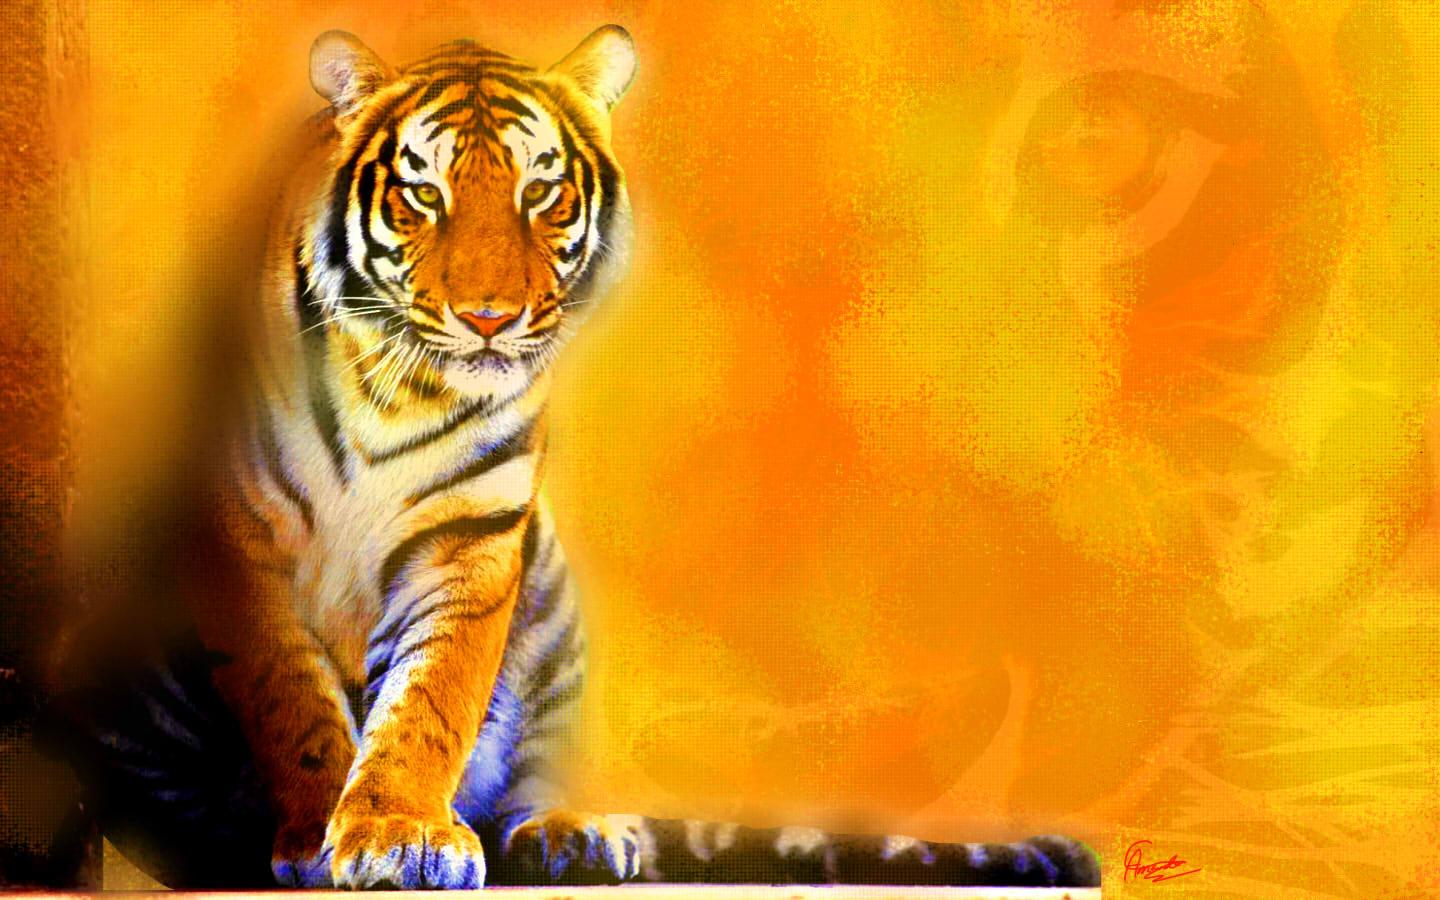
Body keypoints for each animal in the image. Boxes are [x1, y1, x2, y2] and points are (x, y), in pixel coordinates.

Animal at [52, 26, 1100, 890]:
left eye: (541, 192)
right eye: (424, 193)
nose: (488, 318)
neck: (401, 392)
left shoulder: (473, 541)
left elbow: (431, 699)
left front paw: (398, 830)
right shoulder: (241, 543)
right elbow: (294, 704)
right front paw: (322, 832)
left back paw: (572, 834)